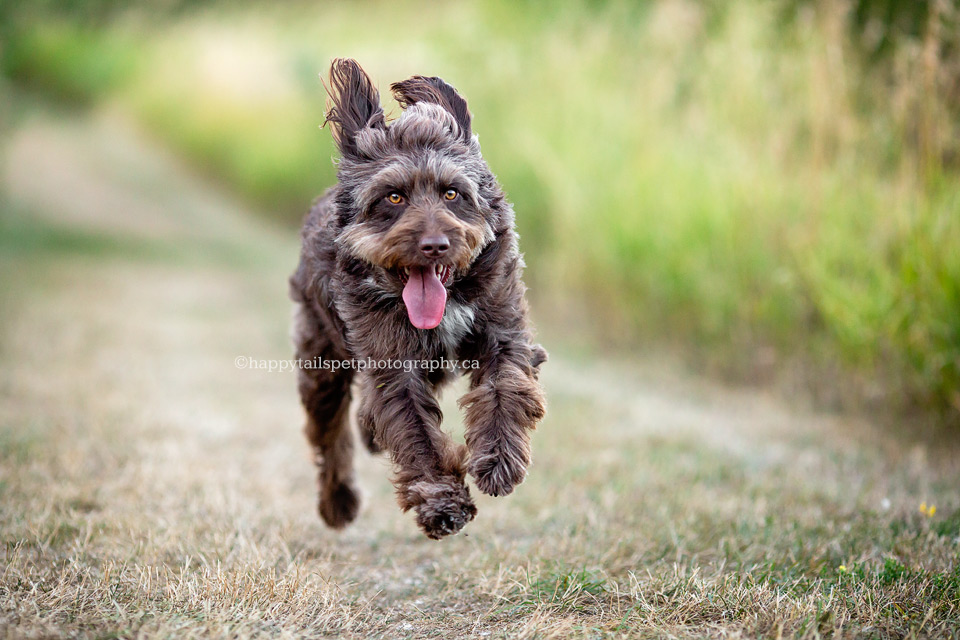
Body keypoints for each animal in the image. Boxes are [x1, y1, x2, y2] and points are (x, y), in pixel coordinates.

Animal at [288, 60, 548, 540]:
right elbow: (415, 434)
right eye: (394, 196)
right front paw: (442, 503)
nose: (434, 245)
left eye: (452, 193)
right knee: (329, 436)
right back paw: (338, 501)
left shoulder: (503, 329)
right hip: (321, 361)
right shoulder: (394, 366)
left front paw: (499, 459)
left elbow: (503, 387)